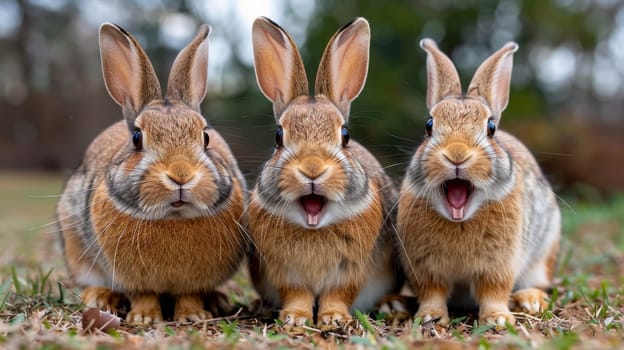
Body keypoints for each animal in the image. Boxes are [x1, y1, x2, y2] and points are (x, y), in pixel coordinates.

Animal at [55, 21, 246, 324]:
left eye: (205, 137)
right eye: (136, 138)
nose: (181, 175)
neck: (173, 217)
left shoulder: (192, 283)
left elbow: (189, 295)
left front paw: (193, 316)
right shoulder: (133, 279)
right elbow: (143, 295)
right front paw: (145, 318)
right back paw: (100, 297)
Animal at [244, 17, 400, 328]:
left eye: (345, 135)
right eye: (278, 136)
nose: (312, 170)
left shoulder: (350, 269)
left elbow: (338, 294)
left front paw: (333, 318)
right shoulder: (285, 271)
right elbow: (296, 293)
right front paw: (295, 318)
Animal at [398, 38, 564, 326]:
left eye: (491, 128)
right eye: (429, 125)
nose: (457, 154)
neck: (460, 220)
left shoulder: (498, 265)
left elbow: (493, 292)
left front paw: (498, 319)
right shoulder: (425, 268)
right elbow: (432, 293)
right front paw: (430, 317)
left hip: (544, 251)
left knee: (538, 282)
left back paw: (531, 300)